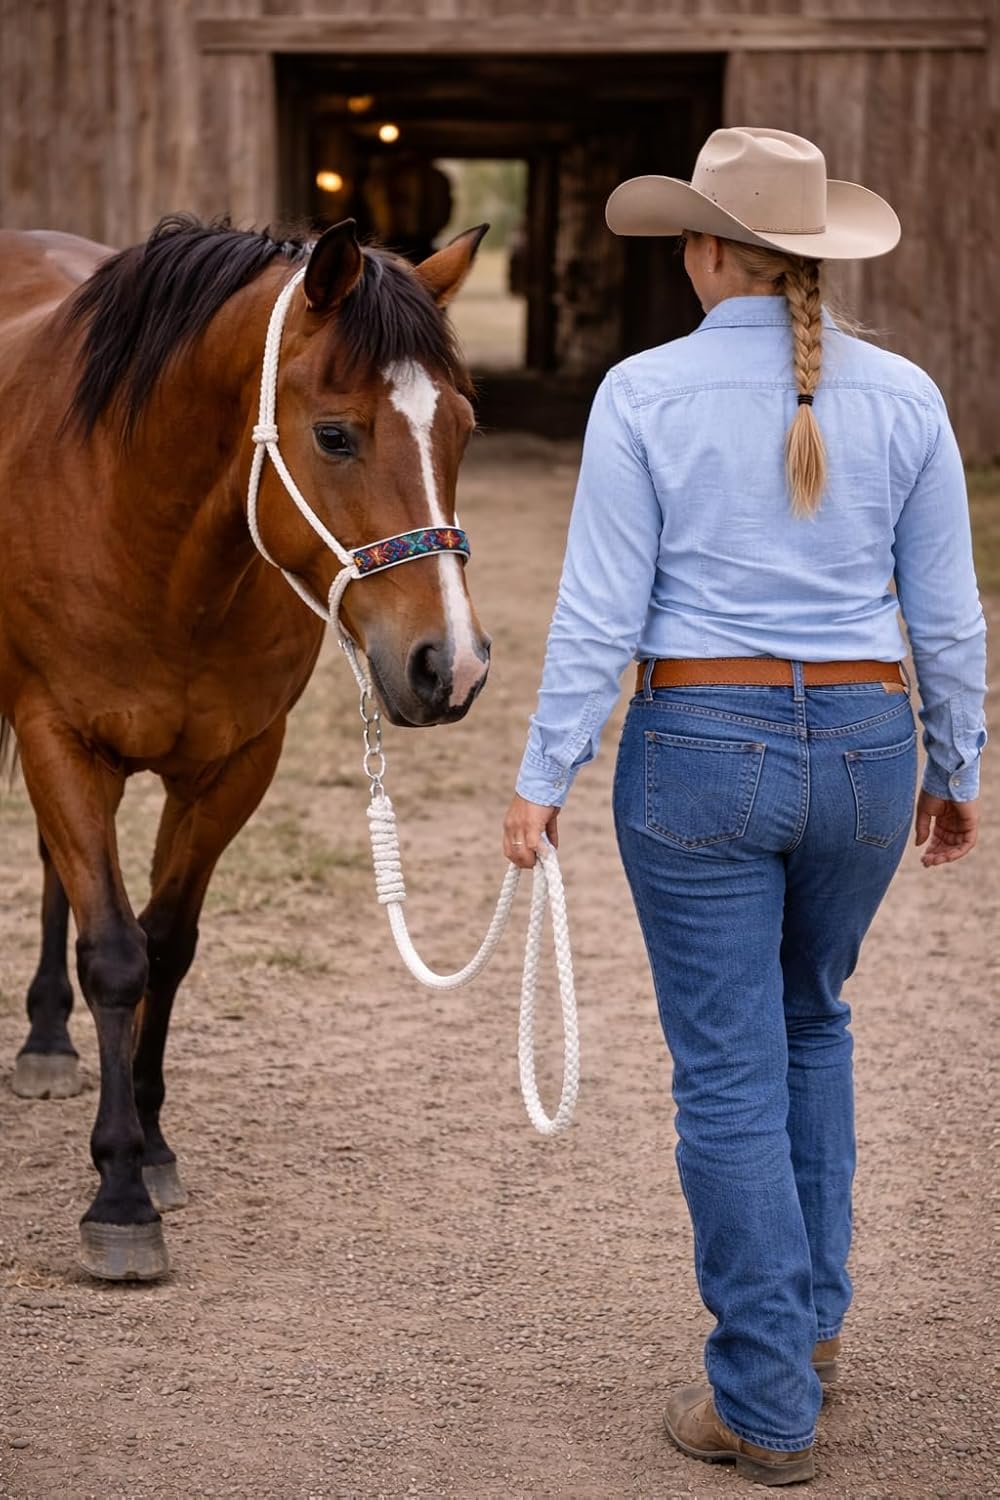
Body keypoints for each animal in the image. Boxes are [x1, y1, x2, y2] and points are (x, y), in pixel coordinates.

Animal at [0, 214, 491, 1281]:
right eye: (336, 434)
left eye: (463, 430)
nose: (452, 665)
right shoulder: (57, 733)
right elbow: (115, 953)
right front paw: (118, 1198)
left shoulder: (235, 765)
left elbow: (166, 947)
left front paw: (151, 1145)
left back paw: (49, 1042)